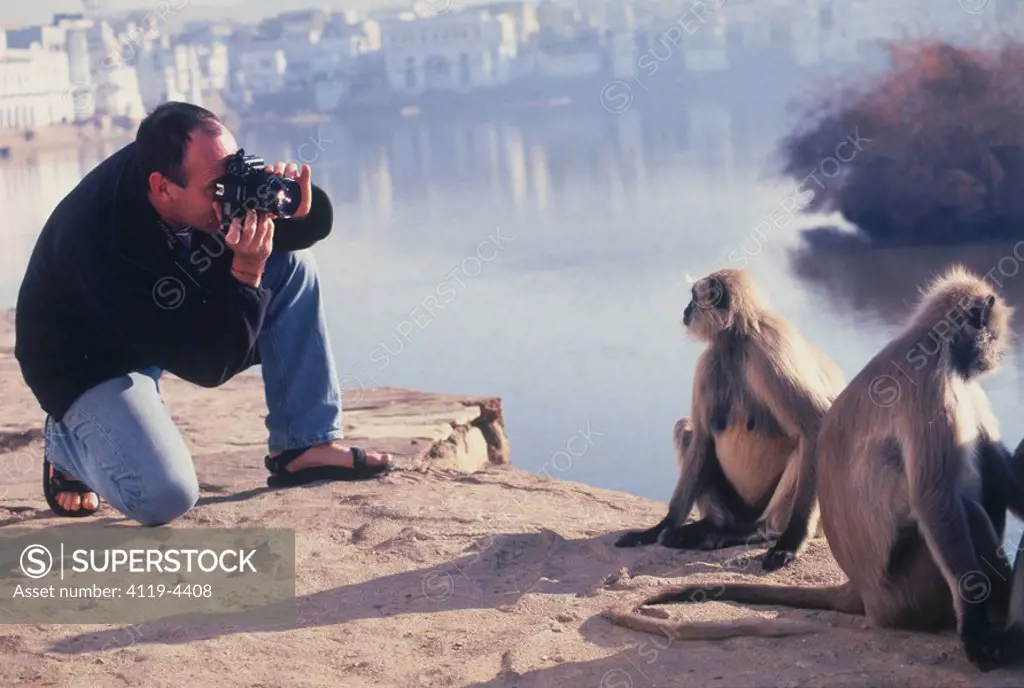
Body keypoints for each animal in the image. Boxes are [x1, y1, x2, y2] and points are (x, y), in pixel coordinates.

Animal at [614, 266, 847, 573]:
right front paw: (657, 529)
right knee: (687, 428)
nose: (686, 310)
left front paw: (792, 542)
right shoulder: (709, 360)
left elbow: (817, 422)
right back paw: (711, 528)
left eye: (693, 299)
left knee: (805, 441)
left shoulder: (768, 350)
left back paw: (756, 531)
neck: (738, 337)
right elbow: (703, 436)